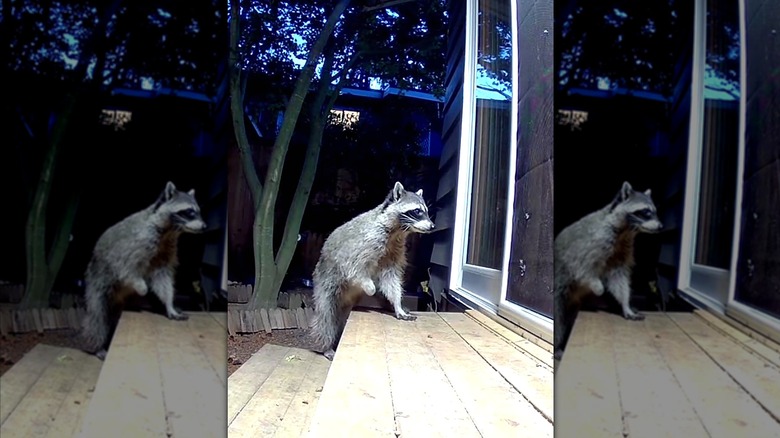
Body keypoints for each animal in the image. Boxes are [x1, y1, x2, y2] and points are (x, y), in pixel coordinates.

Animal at [80, 181, 208, 360]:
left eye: (199, 212)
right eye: (189, 212)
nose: (205, 227)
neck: (170, 231)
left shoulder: (166, 249)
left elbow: (162, 278)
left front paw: (169, 304)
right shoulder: (138, 241)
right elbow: (125, 267)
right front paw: (141, 286)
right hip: (96, 280)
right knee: (97, 317)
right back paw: (96, 345)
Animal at [310, 181, 435, 361]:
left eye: (426, 211)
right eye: (417, 211)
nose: (432, 226)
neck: (398, 230)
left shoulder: (394, 250)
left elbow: (391, 279)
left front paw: (397, 304)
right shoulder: (366, 241)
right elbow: (353, 267)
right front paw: (369, 286)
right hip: (325, 282)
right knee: (326, 316)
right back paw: (326, 345)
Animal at [553, 181, 663, 359]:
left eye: (655, 212)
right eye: (646, 212)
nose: (661, 227)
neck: (626, 231)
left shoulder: (622, 250)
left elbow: (618, 279)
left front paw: (625, 304)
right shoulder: (592, 241)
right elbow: (581, 268)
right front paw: (597, 285)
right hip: (559, 294)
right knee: (559, 321)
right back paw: (557, 347)